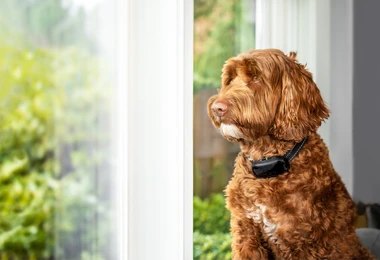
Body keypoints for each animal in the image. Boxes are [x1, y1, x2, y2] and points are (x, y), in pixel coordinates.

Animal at [208, 49, 374, 260]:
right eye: (230, 78)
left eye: (256, 77)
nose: (217, 108)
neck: (267, 164)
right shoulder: (245, 232)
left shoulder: (303, 242)